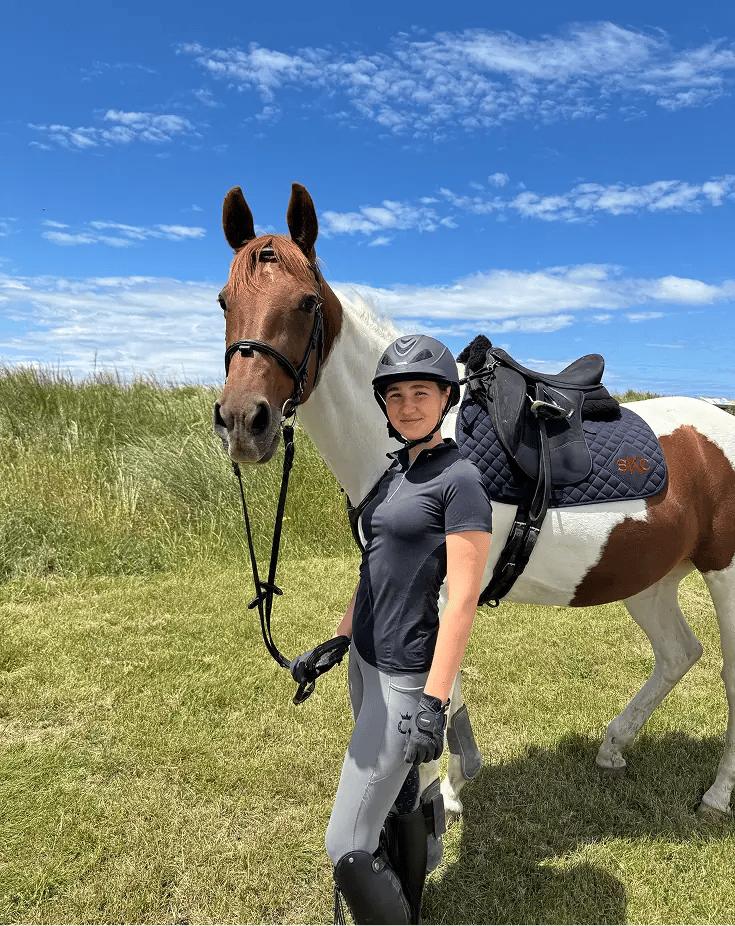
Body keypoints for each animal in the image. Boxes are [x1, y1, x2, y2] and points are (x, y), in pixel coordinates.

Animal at [214, 182, 735, 825]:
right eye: (224, 301)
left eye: (307, 302)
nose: (244, 422)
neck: (413, 446)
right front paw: (454, 784)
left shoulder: (442, 587)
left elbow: (431, 686)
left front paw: (436, 797)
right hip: (649, 575)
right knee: (678, 653)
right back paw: (614, 746)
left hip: (724, 574)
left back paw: (717, 794)